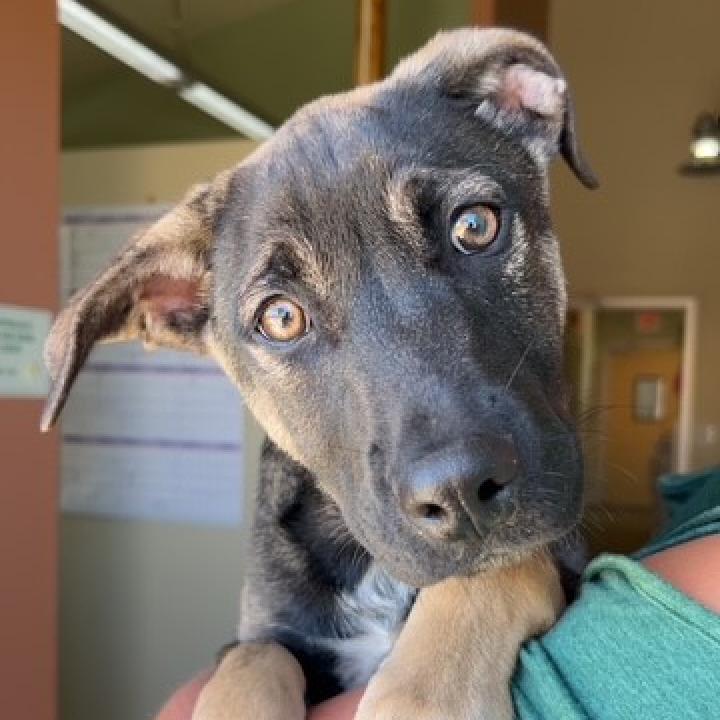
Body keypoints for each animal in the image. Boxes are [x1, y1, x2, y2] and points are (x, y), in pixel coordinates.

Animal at [40, 26, 596, 720]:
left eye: (474, 225)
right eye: (281, 318)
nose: (461, 491)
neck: (375, 574)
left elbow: (497, 571)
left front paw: (424, 697)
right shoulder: (265, 632)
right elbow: (252, 661)